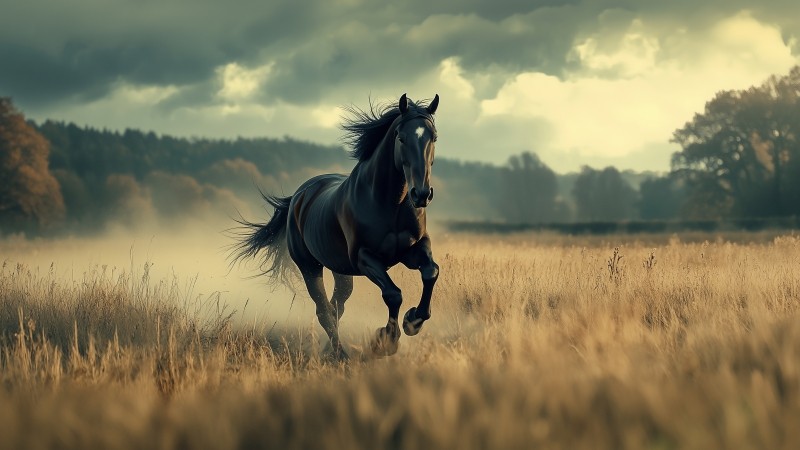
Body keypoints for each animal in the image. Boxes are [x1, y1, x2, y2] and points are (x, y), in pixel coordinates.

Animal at [231, 93, 440, 359]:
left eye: (434, 137)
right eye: (401, 138)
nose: (421, 194)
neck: (388, 203)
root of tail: (299, 195)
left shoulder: (414, 248)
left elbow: (431, 272)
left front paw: (413, 320)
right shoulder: (365, 258)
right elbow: (393, 294)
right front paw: (385, 341)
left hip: (340, 269)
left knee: (336, 306)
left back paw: (329, 351)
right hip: (309, 266)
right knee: (324, 310)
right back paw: (340, 355)